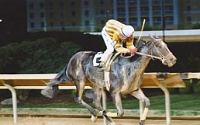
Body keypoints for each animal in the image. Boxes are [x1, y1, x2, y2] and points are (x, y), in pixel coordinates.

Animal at [41, 35, 176, 125]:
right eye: (159, 46)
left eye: (166, 45)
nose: (173, 59)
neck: (129, 66)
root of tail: (71, 60)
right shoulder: (115, 92)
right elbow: (120, 113)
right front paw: (109, 117)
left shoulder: (134, 90)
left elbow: (147, 102)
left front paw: (141, 121)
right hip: (80, 81)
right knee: (79, 99)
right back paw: (95, 115)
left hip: (95, 85)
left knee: (96, 102)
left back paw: (96, 115)